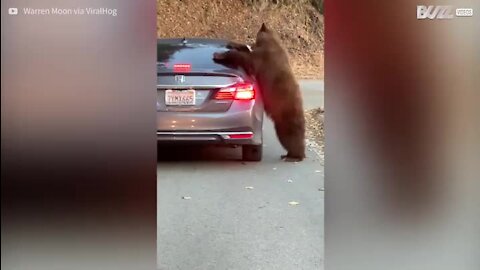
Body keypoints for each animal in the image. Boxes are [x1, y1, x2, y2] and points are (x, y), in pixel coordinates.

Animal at [215, 23, 308, 161]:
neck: (270, 42)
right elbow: (247, 49)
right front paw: (232, 44)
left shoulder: (264, 57)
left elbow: (247, 59)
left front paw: (219, 54)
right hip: (280, 123)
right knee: (284, 137)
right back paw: (288, 154)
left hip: (288, 115)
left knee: (292, 136)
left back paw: (295, 156)